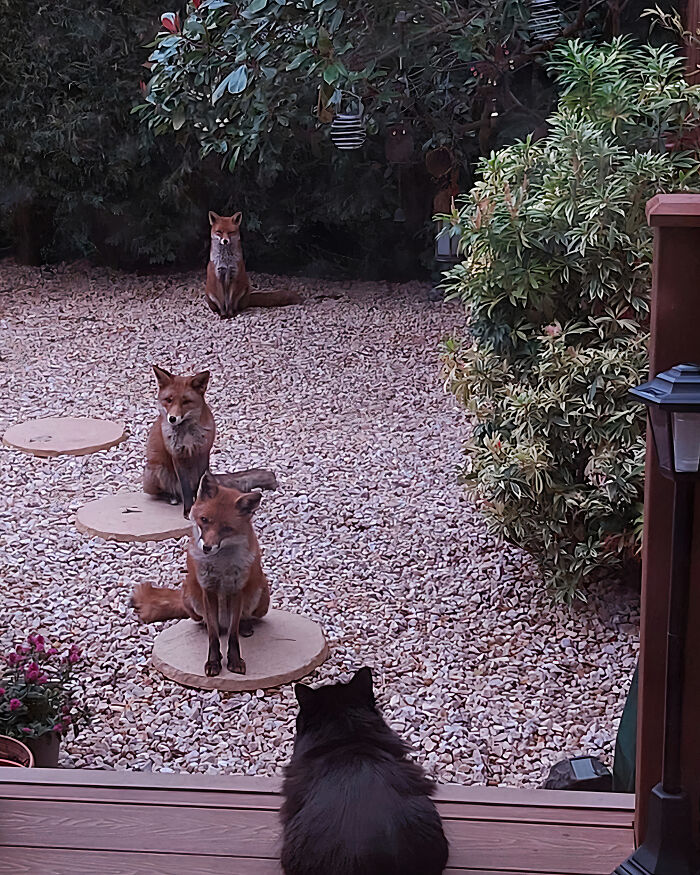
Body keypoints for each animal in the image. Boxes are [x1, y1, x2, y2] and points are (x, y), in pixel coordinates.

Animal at [131, 472, 270, 677]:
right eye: (204, 520)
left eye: (226, 528)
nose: (207, 548)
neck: (221, 567)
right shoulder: (208, 590)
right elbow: (213, 635)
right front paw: (214, 661)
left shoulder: (236, 590)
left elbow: (233, 635)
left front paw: (234, 660)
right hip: (191, 597)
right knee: (208, 623)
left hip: (260, 595)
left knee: (241, 620)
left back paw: (245, 626)